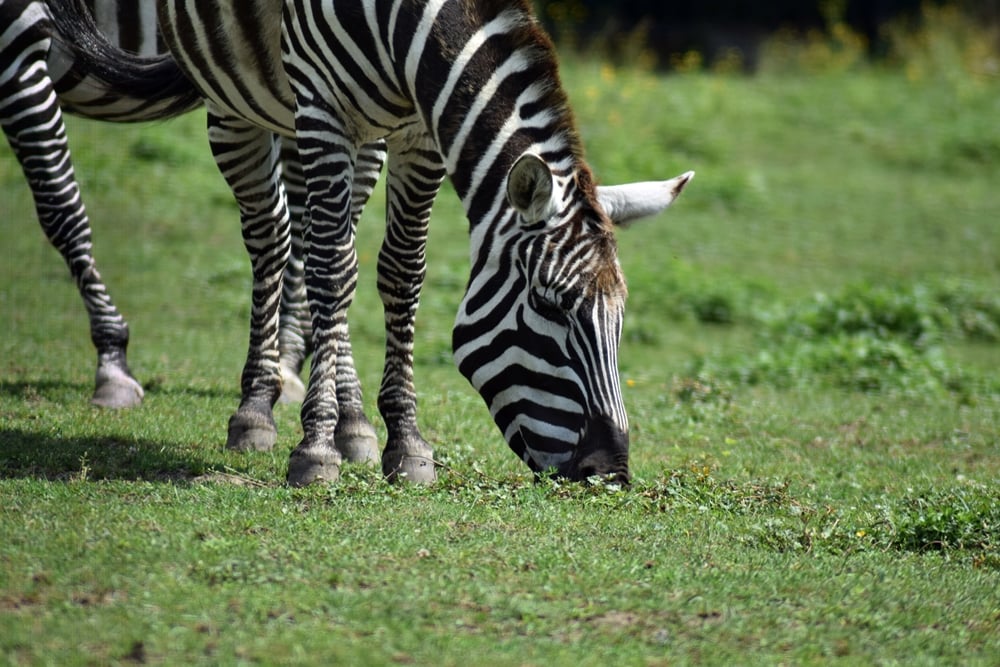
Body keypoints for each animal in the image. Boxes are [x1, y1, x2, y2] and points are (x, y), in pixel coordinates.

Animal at [50, 0, 692, 486]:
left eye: (620, 319)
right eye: (550, 306)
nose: (611, 473)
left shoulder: (418, 131)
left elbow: (400, 272)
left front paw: (402, 442)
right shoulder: (322, 107)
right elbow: (329, 270)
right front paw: (314, 449)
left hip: (361, 133)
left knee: (337, 248)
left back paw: (353, 421)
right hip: (236, 102)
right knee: (275, 241)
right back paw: (257, 409)